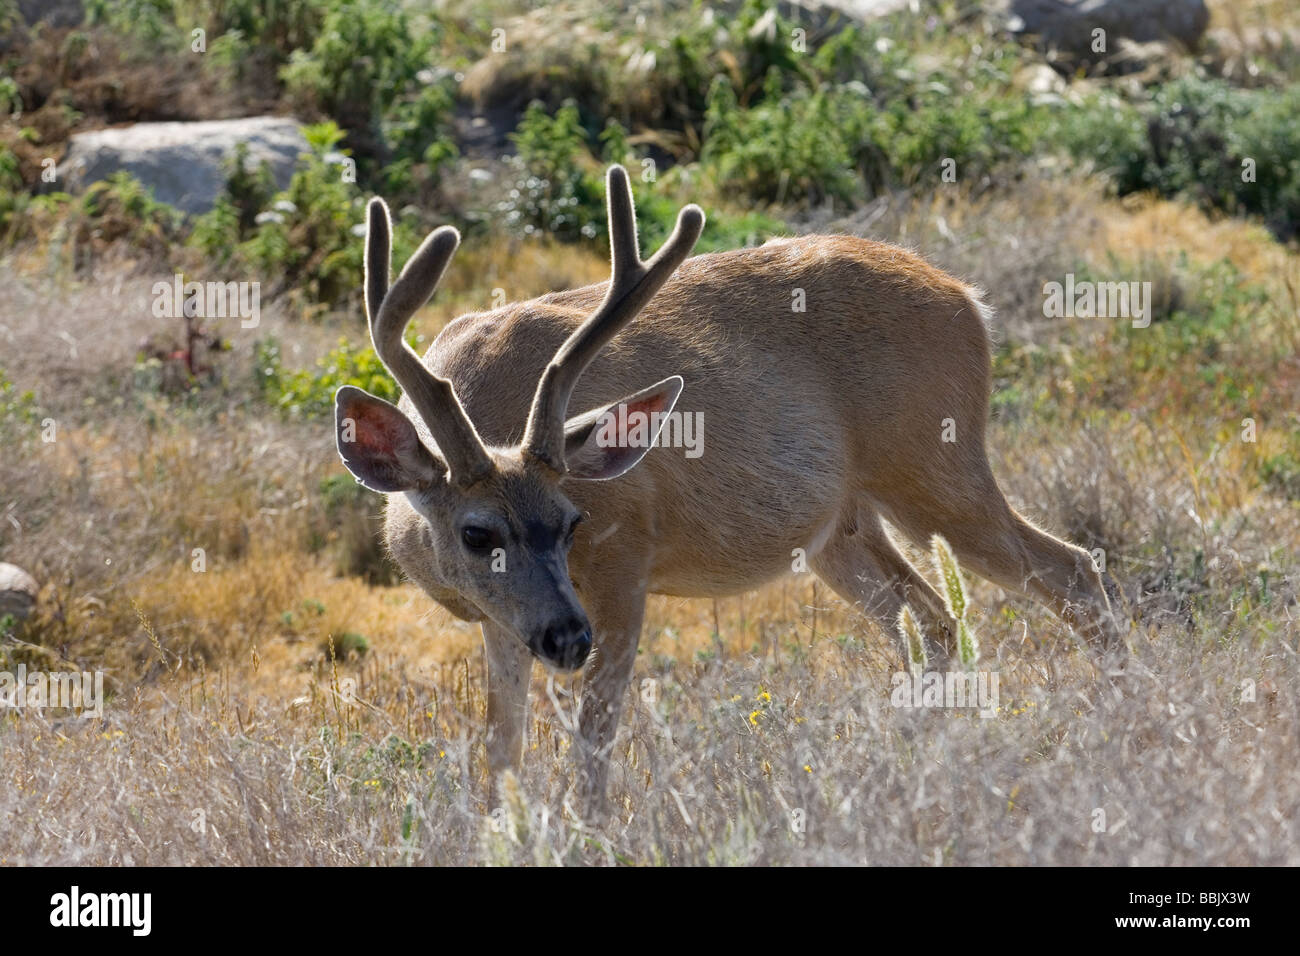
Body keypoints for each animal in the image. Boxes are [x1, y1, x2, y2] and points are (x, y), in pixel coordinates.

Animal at [334, 164, 1122, 812]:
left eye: (572, 520)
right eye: (477, 533)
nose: (567, 637)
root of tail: (970, 300)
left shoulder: (625, 560)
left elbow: (594, 739)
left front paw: (592, 831)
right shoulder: (503, 618)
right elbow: (501, 752)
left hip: (934, 463)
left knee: (1071, 571)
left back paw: (1120, 719)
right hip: (842, 527)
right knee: (932, 619)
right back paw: (919, 759)